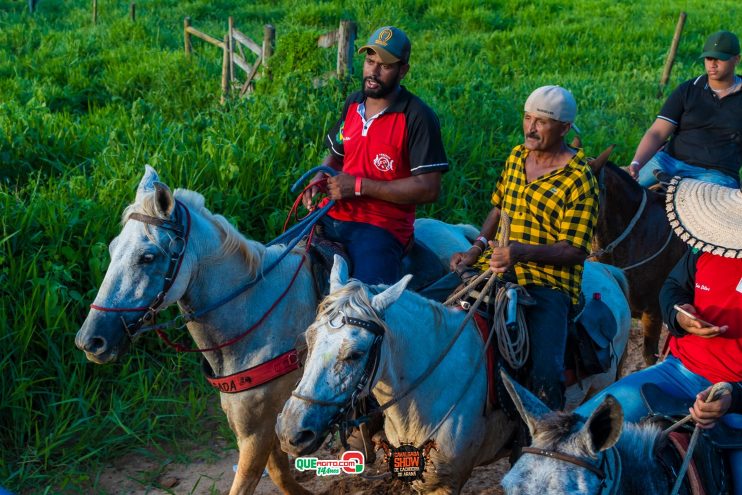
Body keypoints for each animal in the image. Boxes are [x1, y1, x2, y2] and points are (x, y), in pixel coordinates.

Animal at [75, 167, 480, 495]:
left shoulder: (260, 430)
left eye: (148, 257)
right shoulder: (257, 424)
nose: (91, 340)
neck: (253, 310)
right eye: (112, 249)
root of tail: (459, 232)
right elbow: (281, 475)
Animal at [276, 254, 632, 494]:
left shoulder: (447, 482)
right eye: (309, 337)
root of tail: (607, 270)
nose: (291, 432)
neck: (428, 392)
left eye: (355, 354)